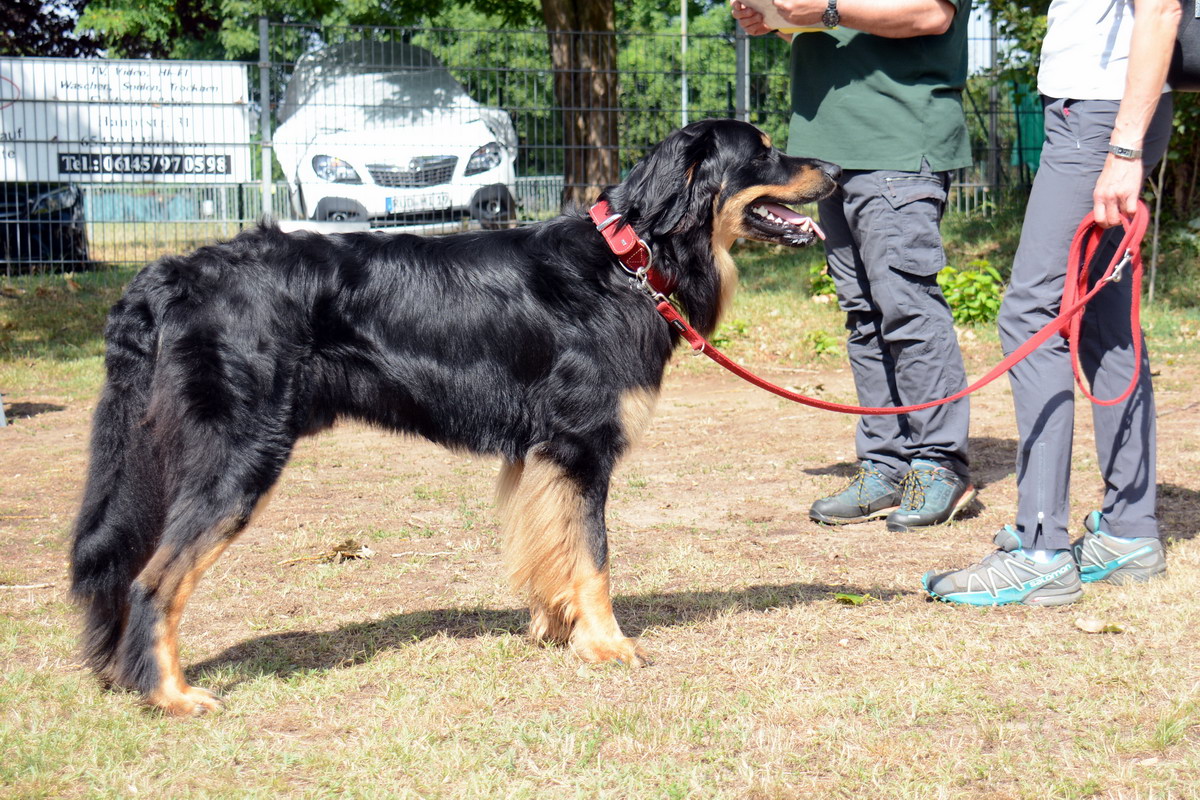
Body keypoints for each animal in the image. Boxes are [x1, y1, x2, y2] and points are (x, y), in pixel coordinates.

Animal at [70, 117, 840, 714]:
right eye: (763, 151)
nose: (836, 171)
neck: (627, 258)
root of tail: (170, 274)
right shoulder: (581, 445)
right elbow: (593, 555)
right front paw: (607, 645)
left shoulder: (538, 454)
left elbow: (548, 548)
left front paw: (554, 630)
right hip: (239, 456)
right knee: (153, 580)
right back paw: (169, 694)